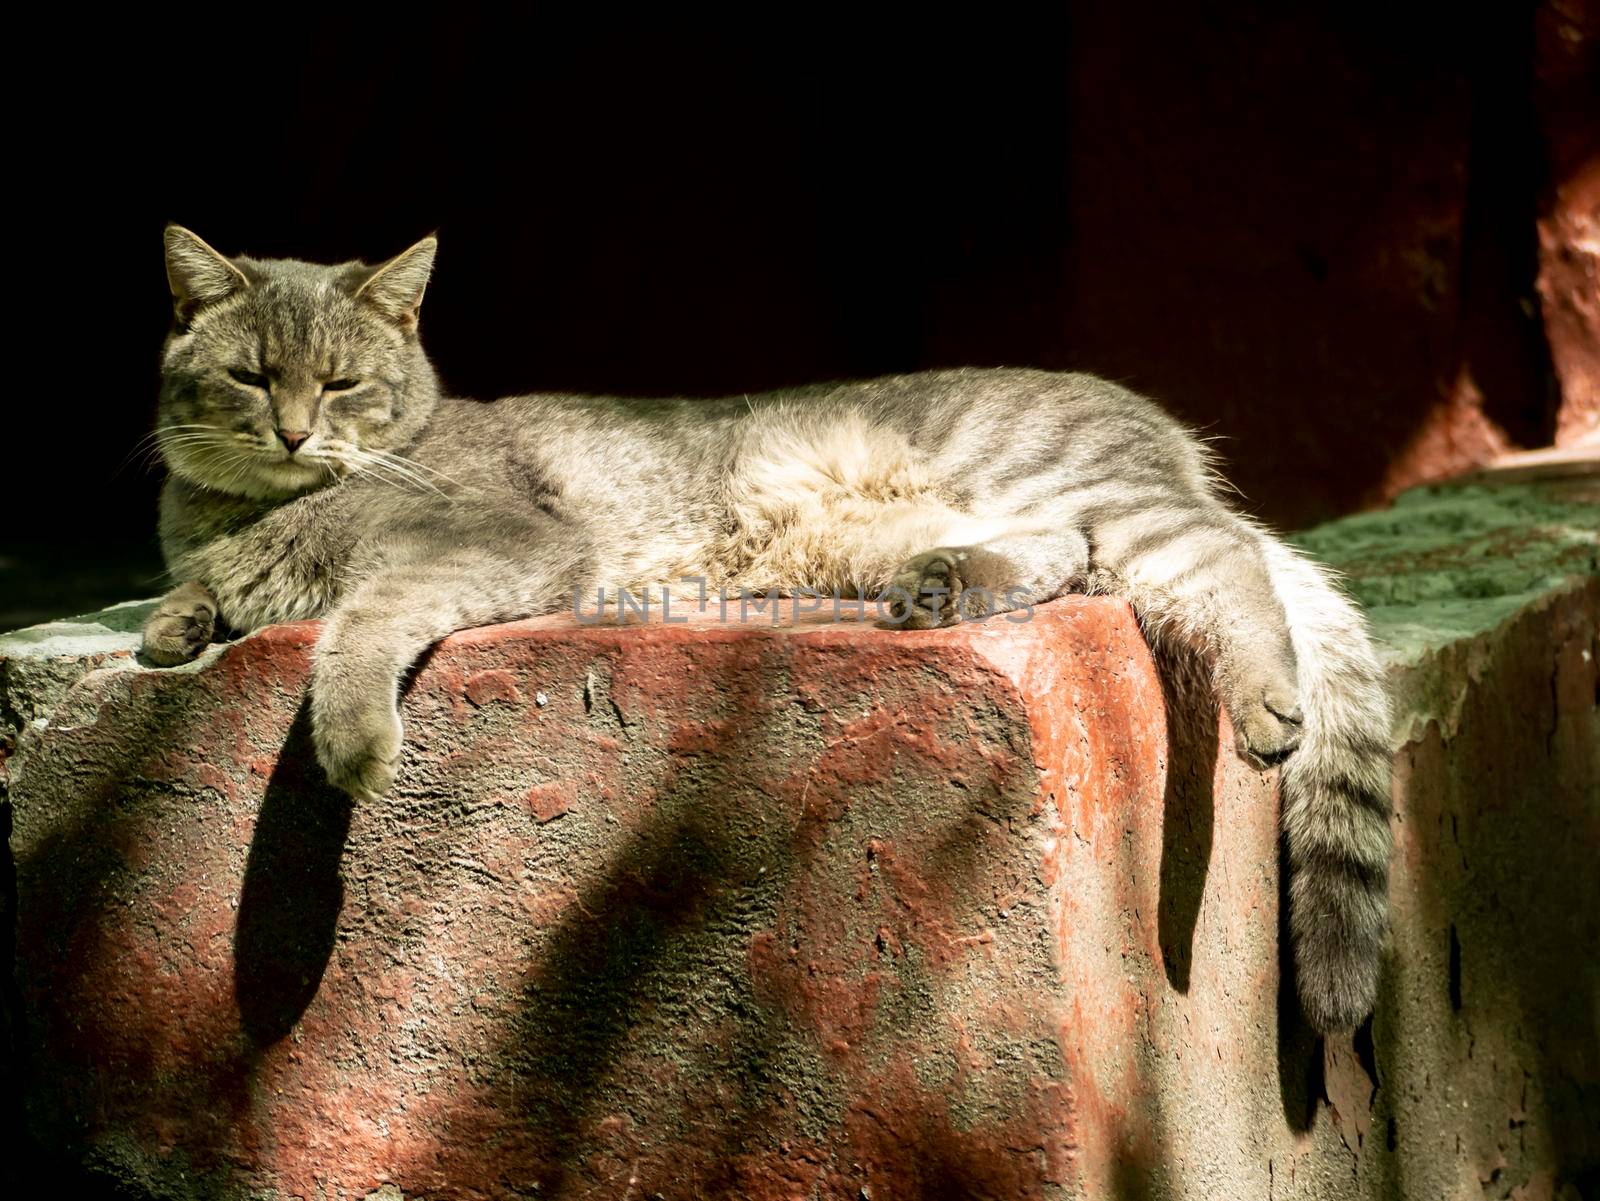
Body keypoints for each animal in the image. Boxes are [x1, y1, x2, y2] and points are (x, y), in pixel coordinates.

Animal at [152, 225, 1401, 1036]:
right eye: (249, 376)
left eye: (340, 384)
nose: (294, 431)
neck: (253, 510)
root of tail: (1160, 428)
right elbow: (190, 595)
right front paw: (175, 623)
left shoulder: (491, 543)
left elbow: (359, 623)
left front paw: (348, 733)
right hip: (962, 524)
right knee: (1062, 556)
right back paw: (944, 587)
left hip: (1096, 494)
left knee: (1226, 559)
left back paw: (1266, 702)